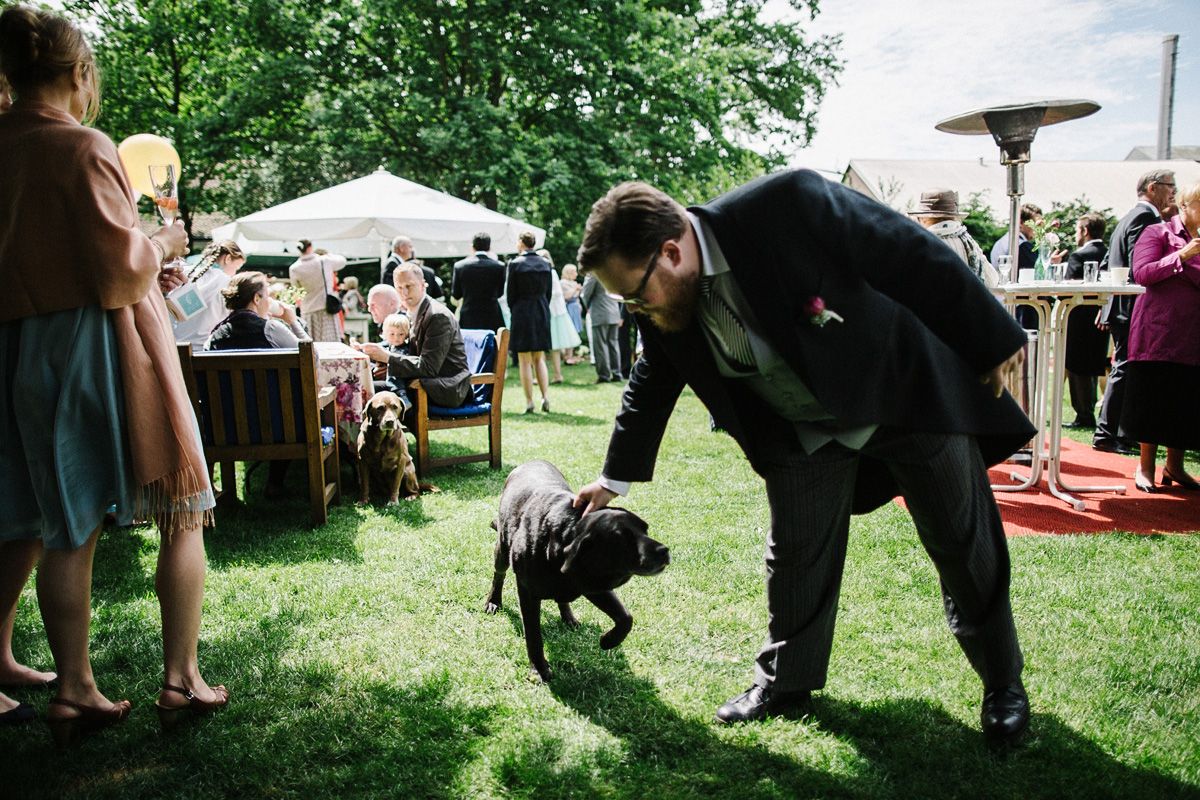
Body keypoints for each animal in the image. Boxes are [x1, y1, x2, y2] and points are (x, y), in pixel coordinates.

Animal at [487, 460, 676, 681]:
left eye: (645, 529)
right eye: (623, 539)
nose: (664, 551)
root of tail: (532, 461)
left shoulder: (594, 585)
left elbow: (626, 618)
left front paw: (608, 641)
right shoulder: (528, 593)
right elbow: (534, 635)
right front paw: (539, 668)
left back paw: (568, 617)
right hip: (502, 547)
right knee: (499, 575)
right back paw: (493, 601)